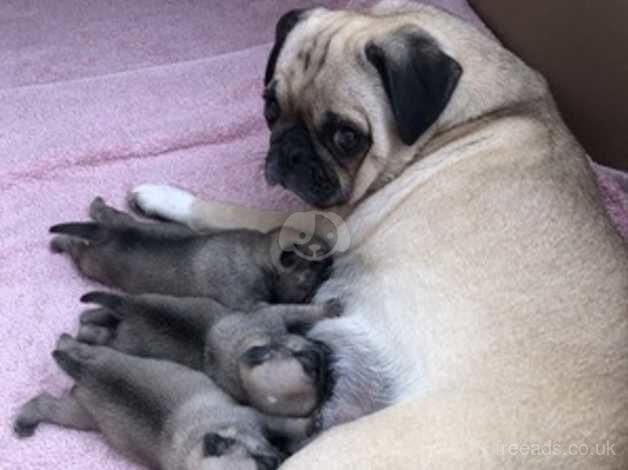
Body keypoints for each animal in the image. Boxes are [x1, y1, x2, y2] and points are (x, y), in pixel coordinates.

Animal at [14, 334, 290, 470]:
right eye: (264, 465)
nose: (277, 458)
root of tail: (88, 373)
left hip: (102, 360)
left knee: (75, 348)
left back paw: (67, 340)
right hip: (79, 417)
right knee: (43, 404)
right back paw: (24, 421)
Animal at [49, 196, 334, 310]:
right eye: (312, 270)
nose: (331, 260)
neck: (259, 254)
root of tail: (108, 232)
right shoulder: (249, 305)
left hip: (119, 222)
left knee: (104, 213)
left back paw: (96, 206)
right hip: (92, 264)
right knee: (77, 250)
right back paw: (60, 242)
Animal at [78, 290, 338, 418]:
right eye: (309, 363)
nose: (325, 351)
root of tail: (131, 307)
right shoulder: (273, 312)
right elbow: (299, 310)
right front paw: (327, 309)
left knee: (98, 317)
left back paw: (87, 321)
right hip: (121, 342)